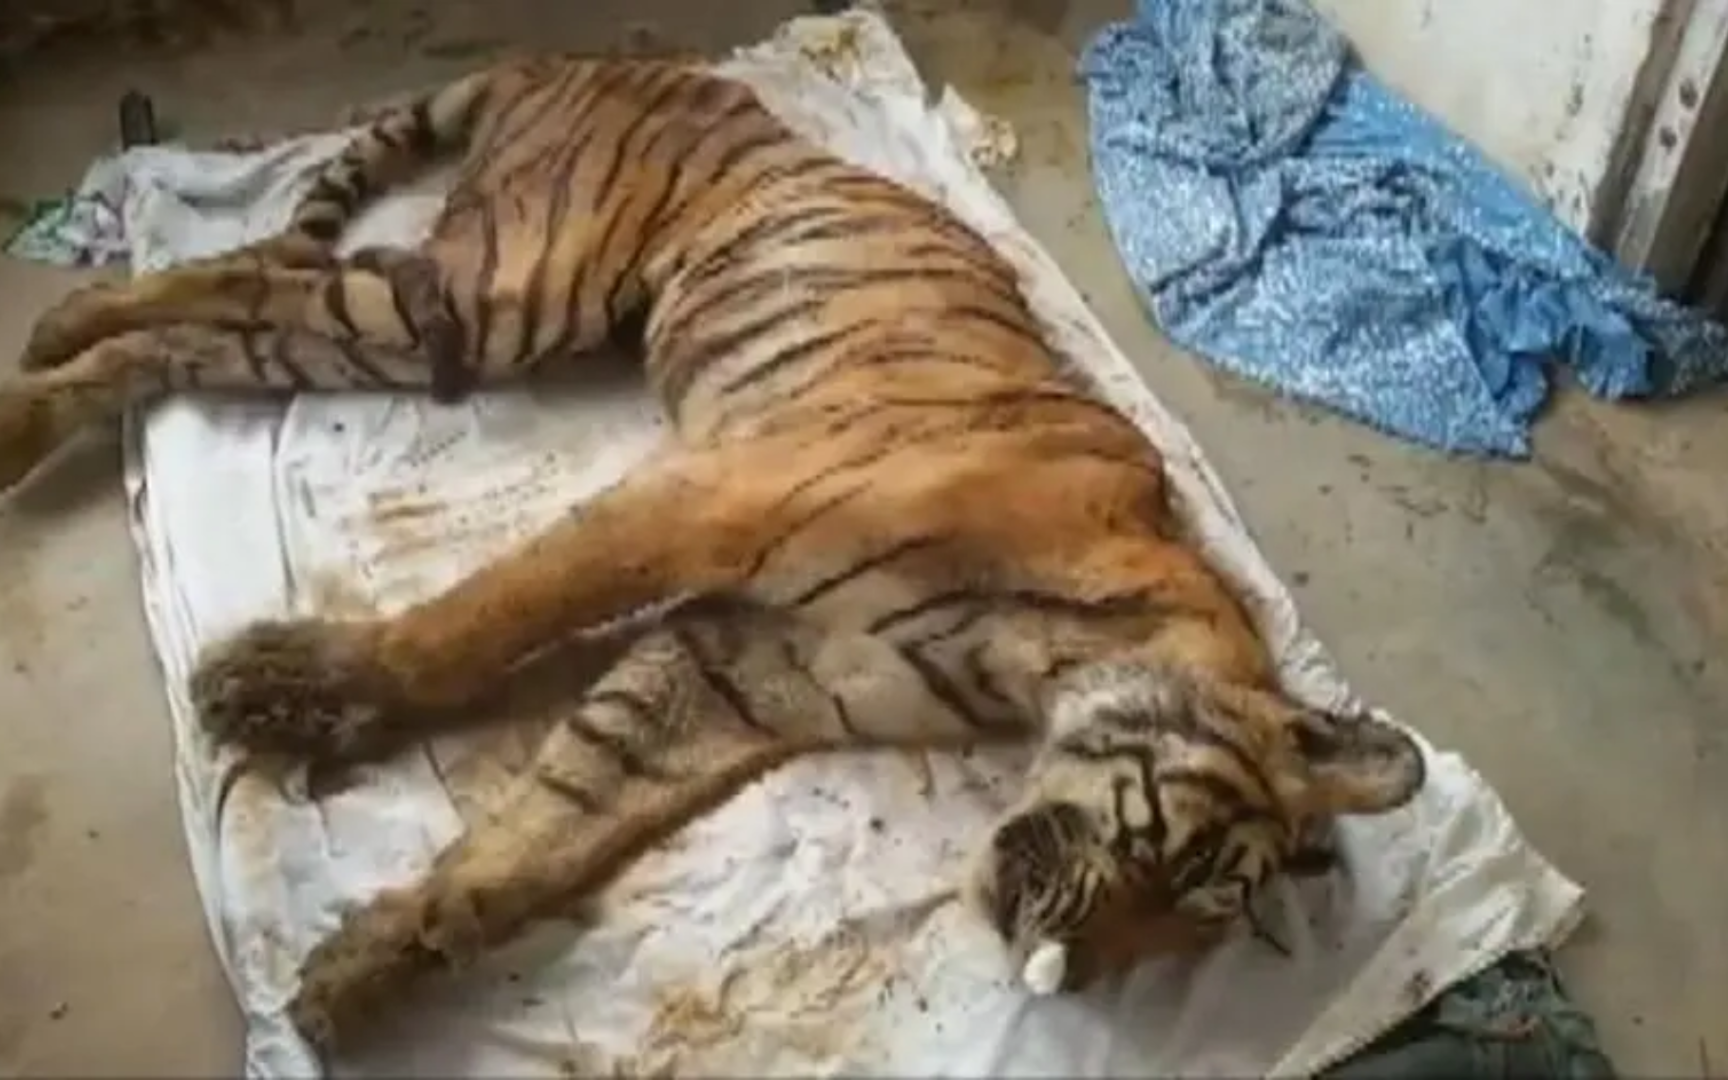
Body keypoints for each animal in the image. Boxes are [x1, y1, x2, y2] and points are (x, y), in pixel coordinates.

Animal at [0, 51, 1425, 1056]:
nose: (1061, 968)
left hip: (451, 312)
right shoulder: (712, 499)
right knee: (234, 292)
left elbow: (558, 818)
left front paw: (373, 963)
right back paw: (40, 381)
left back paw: (59, 337)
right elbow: (485, 616)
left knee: (236, 303)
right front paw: (303, 687)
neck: (1039, 673)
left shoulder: (745, 672)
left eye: (1179, 937)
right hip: (501, 294)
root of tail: (586, 60)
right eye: (1183, 866)